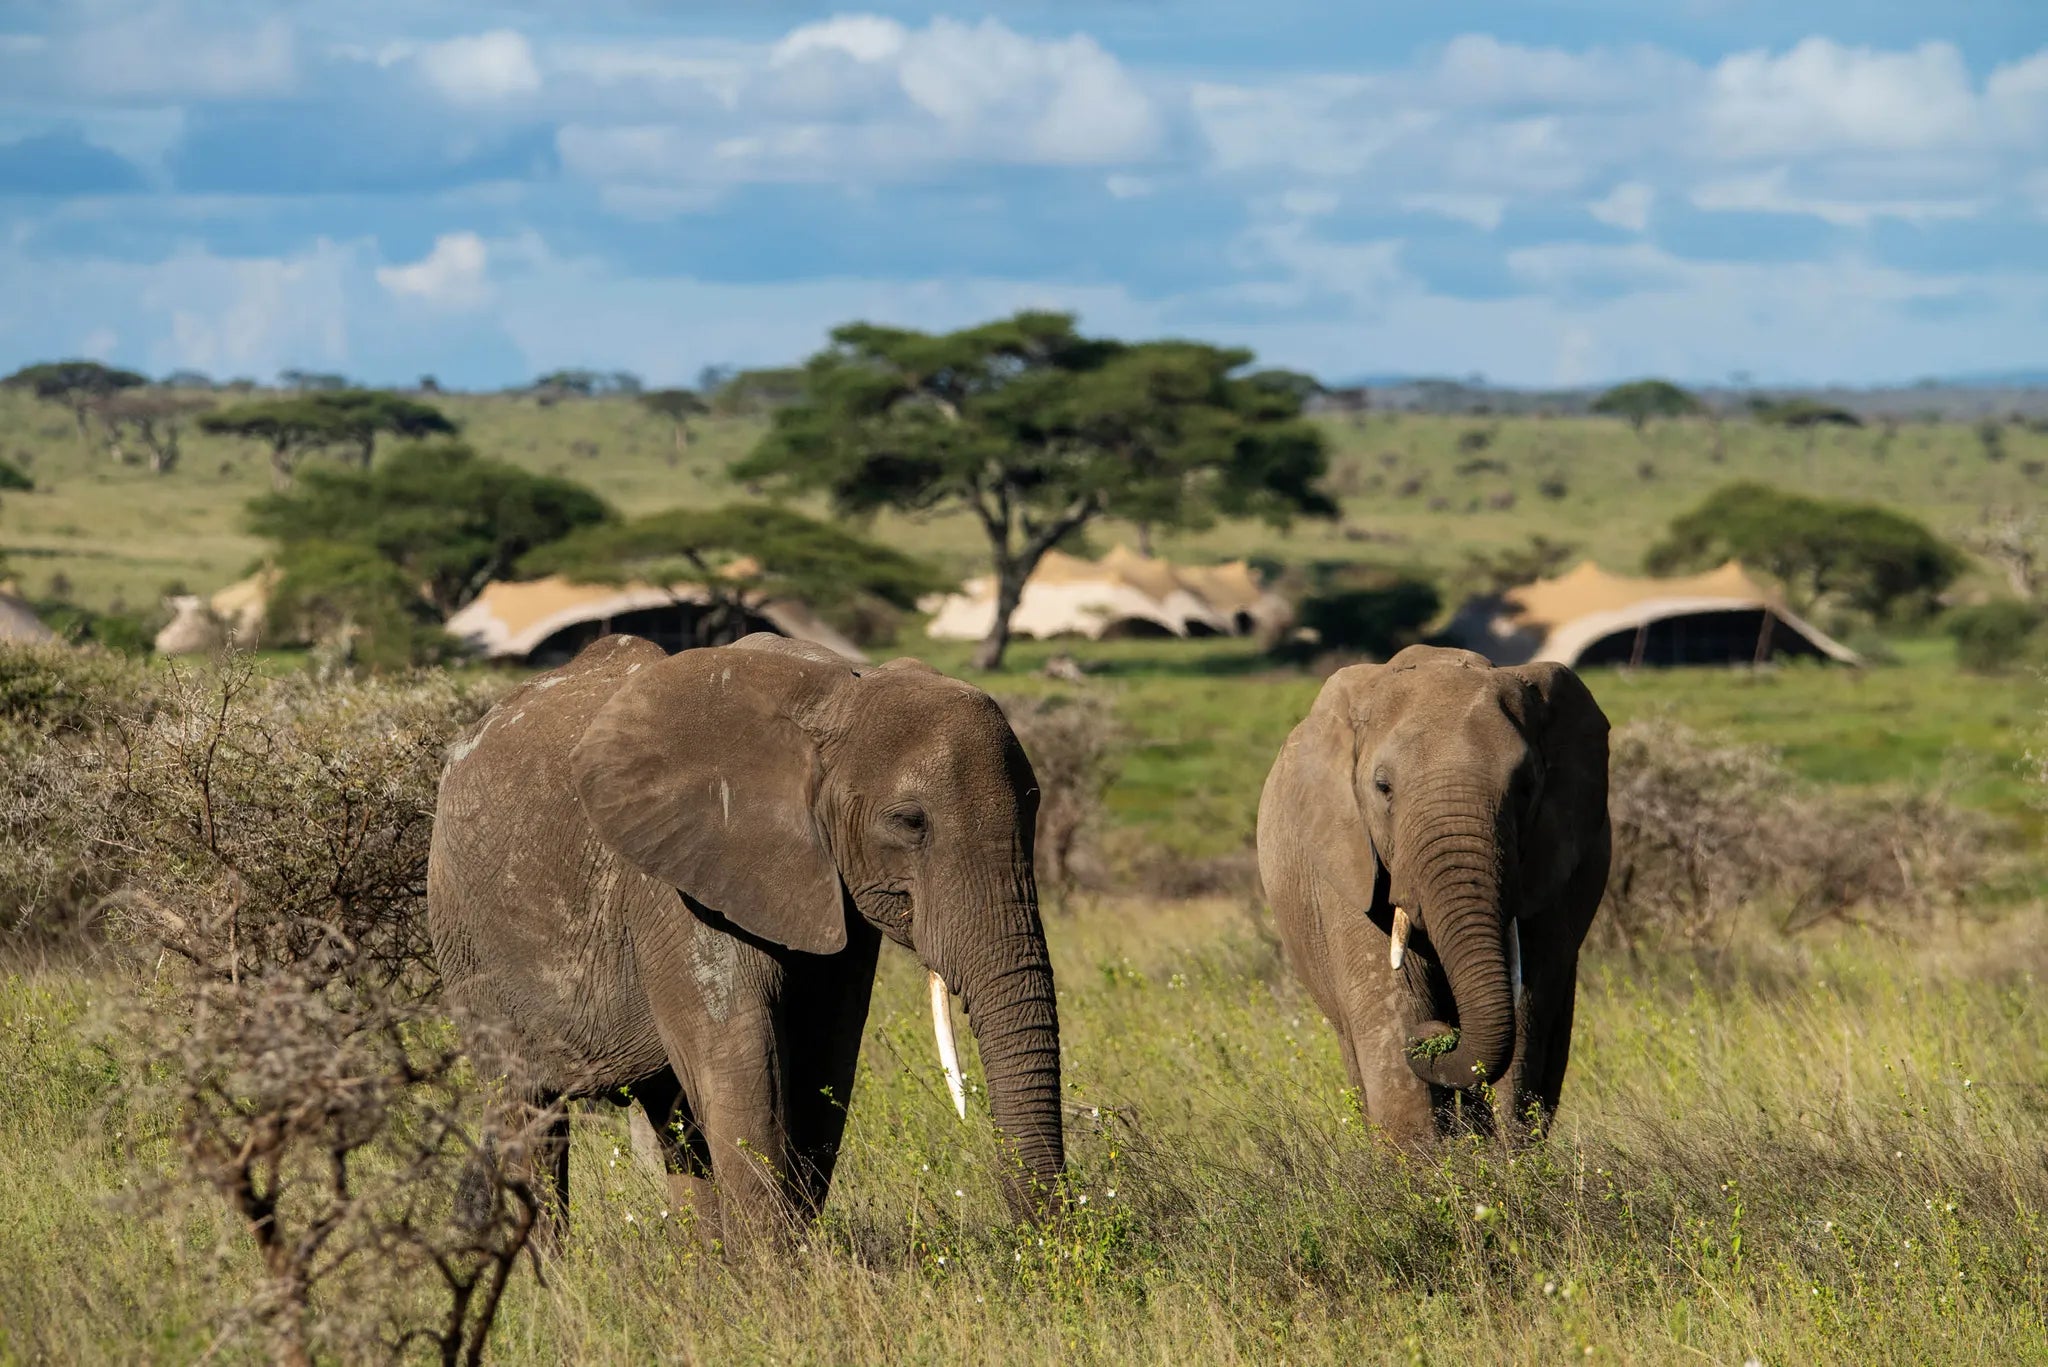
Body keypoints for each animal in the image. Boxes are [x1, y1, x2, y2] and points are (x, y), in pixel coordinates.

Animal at [427, 631, 1063, 1242]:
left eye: (1035, 806)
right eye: (910, 822)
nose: (1046, 1243)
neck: (836, 696)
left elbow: (822, 1060)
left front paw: (775, 1263)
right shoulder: (678, 881)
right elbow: (744, 1064)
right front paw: (772, 1271)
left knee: (674, 1118)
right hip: (465, 937)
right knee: (528, 1111)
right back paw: (553, 1269)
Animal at [1256, 645, 1610, 1147]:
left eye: (1526, 787)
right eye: (1382, 787)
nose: (1436, 1036)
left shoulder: (1552, 867)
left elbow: (1526, 1010)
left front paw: (1502, 1161)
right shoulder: (1349, 861)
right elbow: (1394, 1007)